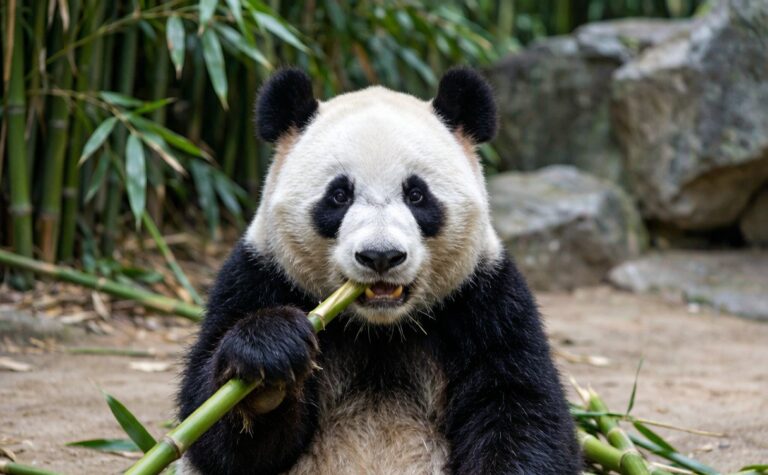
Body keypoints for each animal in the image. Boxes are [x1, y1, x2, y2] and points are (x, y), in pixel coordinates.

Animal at [178, 67, 580, 475]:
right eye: (339, 195)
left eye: (416, 195)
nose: (381, 256)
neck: (380, 330)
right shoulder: (258, 277)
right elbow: (214, 437)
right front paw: (267, 368)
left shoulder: (487, 301)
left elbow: (522, 411)